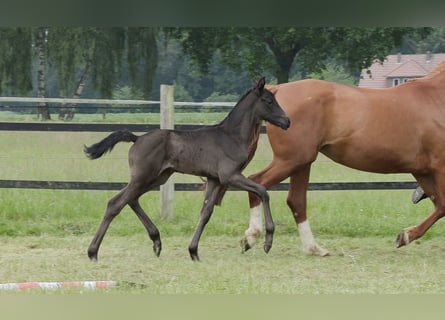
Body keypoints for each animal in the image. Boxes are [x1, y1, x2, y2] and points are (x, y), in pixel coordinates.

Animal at [243, 62, 445, 256]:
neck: (435, 98)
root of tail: (279, 88)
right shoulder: (438, 168)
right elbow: (443, 206)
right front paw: (405, 236)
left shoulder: (423, 171)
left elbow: (440, 205)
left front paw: (405, 236)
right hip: (291, 160)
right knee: (258, 182)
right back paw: (252, 237)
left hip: (301, 163)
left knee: (295, 200)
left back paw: (313, 249)